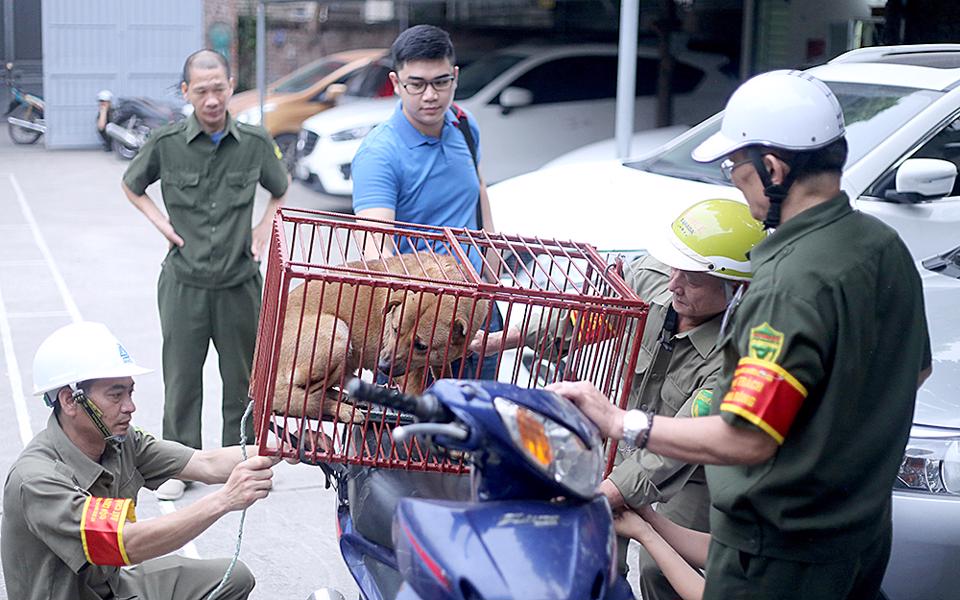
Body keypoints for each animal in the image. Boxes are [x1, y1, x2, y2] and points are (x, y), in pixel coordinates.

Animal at [274, 253, 492, 422]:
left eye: (422, 346)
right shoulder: (408, 376)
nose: (383, 367)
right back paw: (341, 408)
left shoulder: (440, 361)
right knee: (307, 395)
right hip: (337, 332)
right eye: (395, 329)